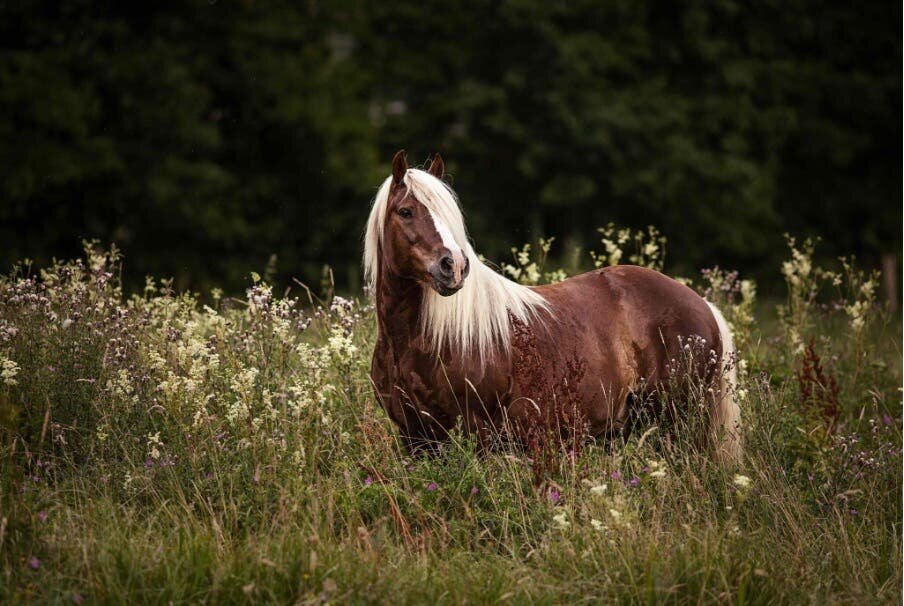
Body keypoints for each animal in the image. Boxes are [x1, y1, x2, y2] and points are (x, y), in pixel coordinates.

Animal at [364, 153, 740, 466]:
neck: (420, 340)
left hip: (678, 425)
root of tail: (702, 304)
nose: (453, 266)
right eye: (405, 212)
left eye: (450, 217)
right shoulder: (416, 439)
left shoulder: (474, 435)